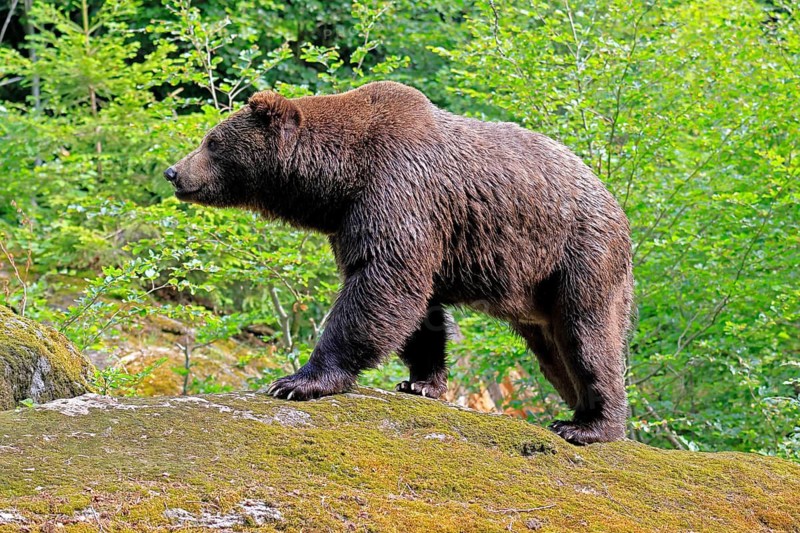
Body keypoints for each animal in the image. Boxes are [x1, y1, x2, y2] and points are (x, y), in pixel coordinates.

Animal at [164, 81, 634, 445]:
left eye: (212, 141)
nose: (173, 172)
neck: (340, 178)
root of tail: (617, 207)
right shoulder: (360, 222)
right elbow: (416, 308)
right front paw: (420, 382)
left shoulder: (399, 191)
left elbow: (381, 285)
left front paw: (297, 382)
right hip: (539, 292)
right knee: (555, 356)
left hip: (579, 256)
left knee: (588, 337)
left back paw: (588, 426)